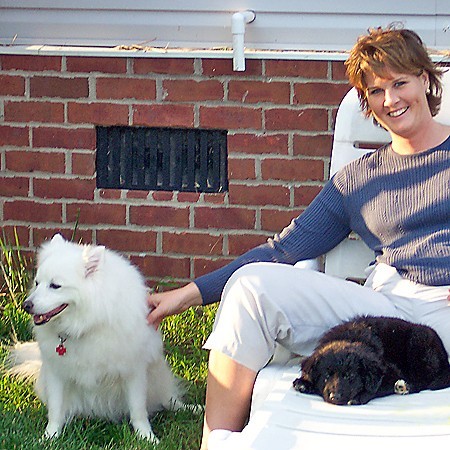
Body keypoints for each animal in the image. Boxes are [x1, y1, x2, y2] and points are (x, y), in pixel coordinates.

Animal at [9, 236, 181, 442]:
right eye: (37, 283)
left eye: (55, 285)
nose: (26, 305)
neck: (87, 324)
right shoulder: (57, 373)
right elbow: (56, 410)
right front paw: (50, 436)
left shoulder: (134, 371)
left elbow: (138, 410)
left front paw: (147, 437)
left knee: (169, 400)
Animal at [294, 316, 450, 408]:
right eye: (326, 376)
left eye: (350, 376)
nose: (335, 397)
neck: (351, 338)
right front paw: (303, 383)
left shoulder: (391, 372)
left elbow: (376, 388)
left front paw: (358, 397)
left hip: (419, 345)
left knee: (423, 381)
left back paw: (404, 386)